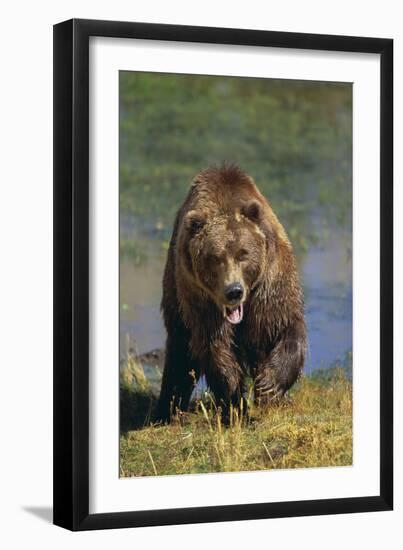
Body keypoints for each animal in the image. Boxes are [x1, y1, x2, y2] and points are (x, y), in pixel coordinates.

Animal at [157, 164, 306, 422]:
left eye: (243, 253)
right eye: (214, 258)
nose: (233, 291)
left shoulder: (270, 284)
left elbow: (285, 327)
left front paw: (268, 386)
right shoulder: (201, 300)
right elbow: (215, 347)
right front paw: (236, 401)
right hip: (175, 293)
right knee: (179, 353)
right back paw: (167, 409)